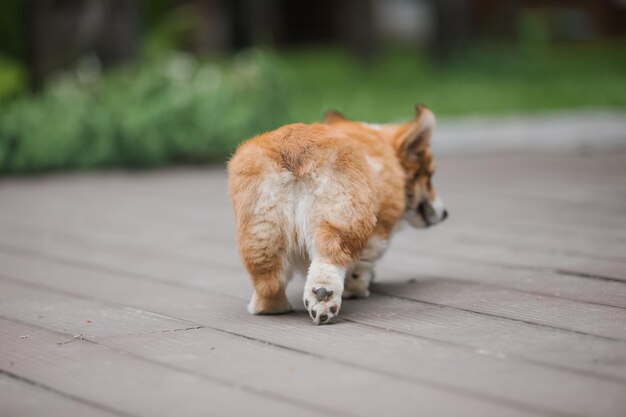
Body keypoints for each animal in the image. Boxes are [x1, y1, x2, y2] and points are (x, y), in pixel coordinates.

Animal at [227, 105, 446, 324]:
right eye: (430, 176)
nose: (445, 214)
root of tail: (294, 149)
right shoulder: (378, 230)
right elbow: (362, 265)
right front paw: (357, 288)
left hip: (260, 229)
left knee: (268, 280)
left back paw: (272, 308)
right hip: (341, 220)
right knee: (329, 260)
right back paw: (324, 298)